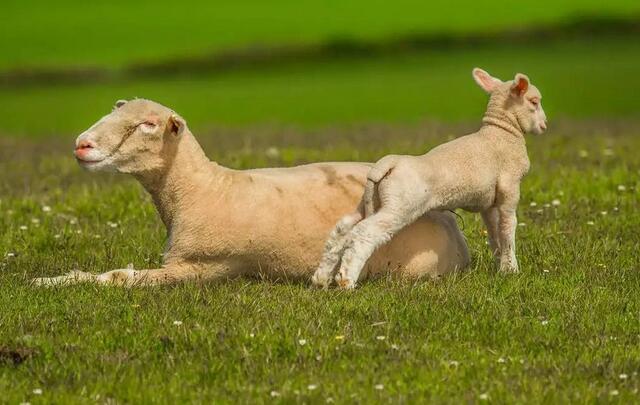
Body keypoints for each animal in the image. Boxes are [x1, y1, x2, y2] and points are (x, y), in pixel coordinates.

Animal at [32, 99, 470, 286]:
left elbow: (120, 278)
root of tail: (455, 230)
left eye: (148, 125)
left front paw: (55, 282)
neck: (203, 189)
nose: (82, 144)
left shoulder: (202, 267)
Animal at [312, 68, 548, 288]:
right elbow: (508, 229)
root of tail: (387, 164)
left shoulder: (488, 203)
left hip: (372, 200)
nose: (544, 126)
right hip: (399, 206)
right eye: (534, 102)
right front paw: (511, 270)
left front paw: (500, 265)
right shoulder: (510, 189)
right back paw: (347, 281)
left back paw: (321, 278)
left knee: (343, 228)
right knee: (364, 232)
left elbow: (494, 233)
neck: (502, 133)